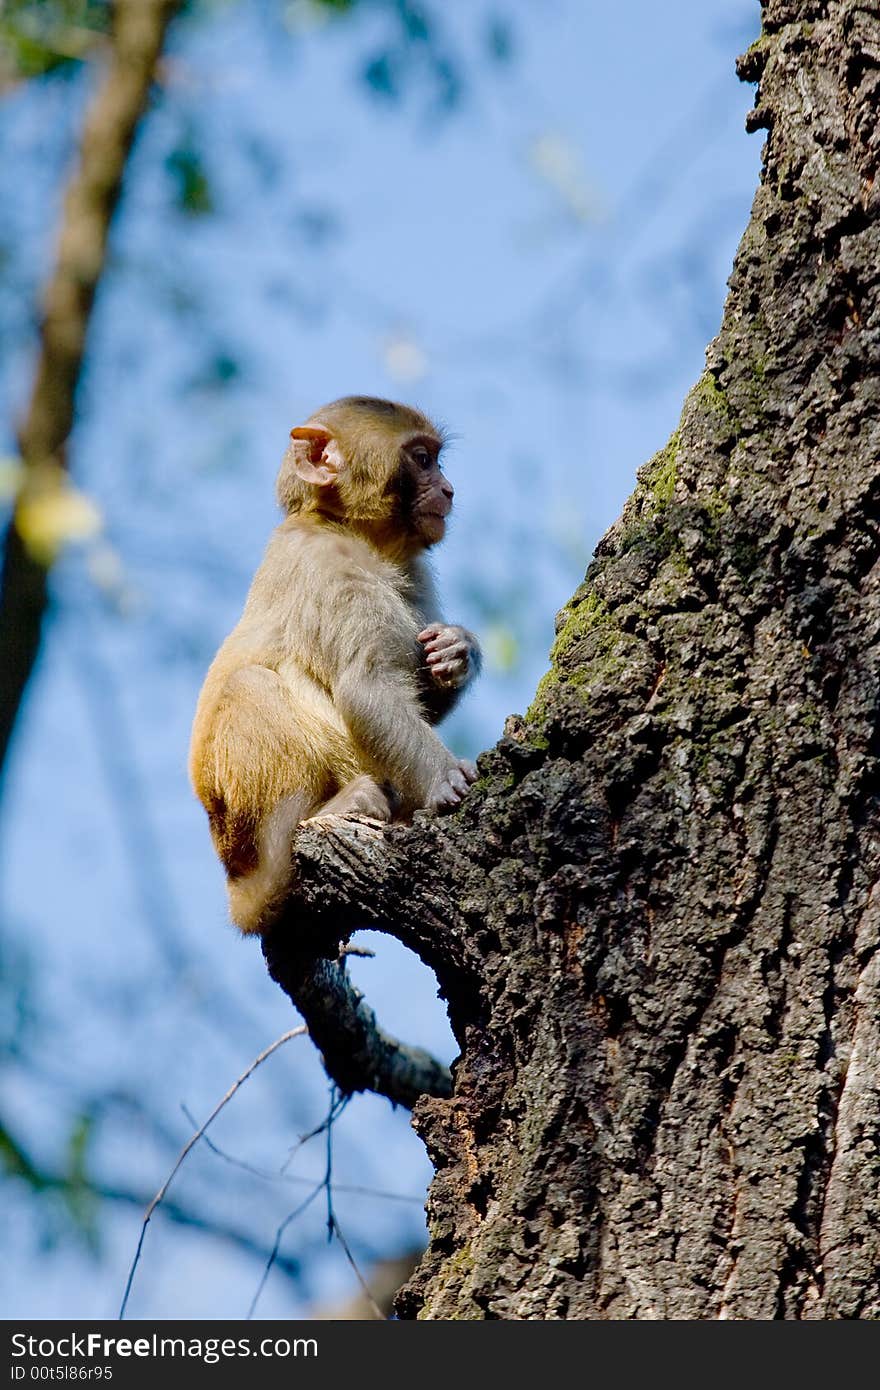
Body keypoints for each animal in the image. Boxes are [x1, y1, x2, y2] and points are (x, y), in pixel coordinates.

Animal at [189, 391, 481, 934]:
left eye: (438, 459)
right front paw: (444, 777)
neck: (350, 529)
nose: (449, 490)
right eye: (422, 459)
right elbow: (367, 689)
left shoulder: (414, 572)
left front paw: (458, 650)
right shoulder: (331, 568)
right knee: (250, 686)